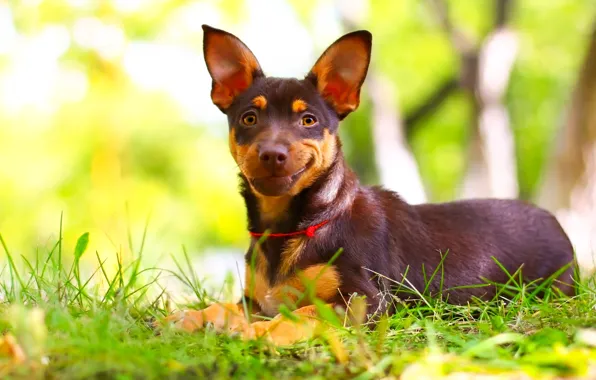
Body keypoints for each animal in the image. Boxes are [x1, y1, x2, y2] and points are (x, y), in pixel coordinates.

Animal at [156, 23, 576, 344]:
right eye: (248, 118)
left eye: (308, 120)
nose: (272, 153)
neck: (295, 225)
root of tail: (555, 222)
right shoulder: (255, 302)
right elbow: (222, 305)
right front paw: (187, 318)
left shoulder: (366, 301)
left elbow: (299, 313)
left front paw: (252, 333)